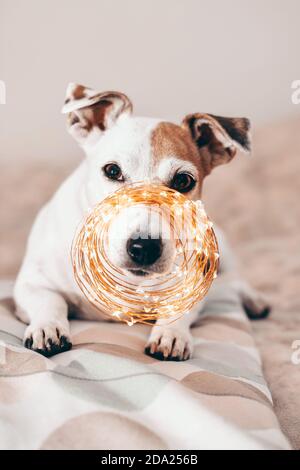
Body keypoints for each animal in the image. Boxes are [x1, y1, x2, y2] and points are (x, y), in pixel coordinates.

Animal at [13, 83, 270, 360]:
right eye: (112, 171)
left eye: (183, 181)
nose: (144, 248)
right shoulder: (31, 283)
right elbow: (50, 301)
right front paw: (47, 328)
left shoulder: (194, 287)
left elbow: (179, 310)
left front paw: (171, 335)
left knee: (234, 280)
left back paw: (254, 300)